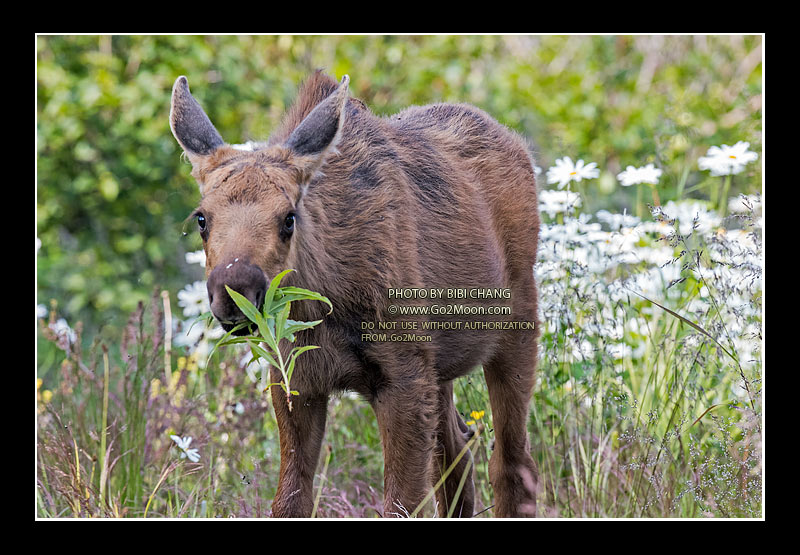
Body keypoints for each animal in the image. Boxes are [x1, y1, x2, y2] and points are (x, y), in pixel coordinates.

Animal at [169, 70, 541, 517]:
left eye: (288, 218)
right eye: (202, 218)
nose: (236, 295)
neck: (323, 302)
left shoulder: (404, 377)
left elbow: (401, 503)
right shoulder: (296, 379)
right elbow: (289, 501)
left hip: (517, 327)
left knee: (511, 464)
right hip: (441, 367)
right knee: (457, 452)